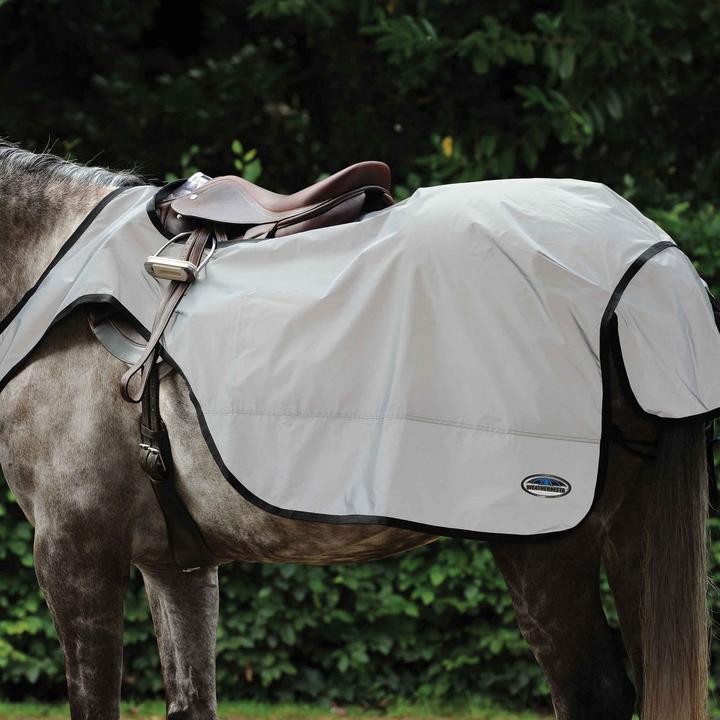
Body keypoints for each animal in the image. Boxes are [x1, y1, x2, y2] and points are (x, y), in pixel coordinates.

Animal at [0, 142, 710, 720]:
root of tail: (651, 260)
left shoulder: (76, 548)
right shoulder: (175, 563)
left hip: (546, 541)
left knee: (593, 691)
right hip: (631, 532)